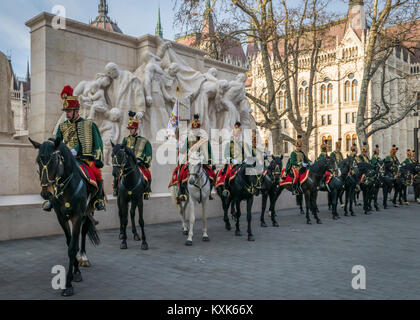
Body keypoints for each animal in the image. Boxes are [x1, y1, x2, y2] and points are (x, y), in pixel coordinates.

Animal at [29, 136, 100, 296]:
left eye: (54, 160)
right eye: (38, 160)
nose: (46, 193)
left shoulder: (77, 216)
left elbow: (73, 248)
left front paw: (68, 284)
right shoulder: (61, 217)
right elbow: (69, 243)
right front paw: (75, 272)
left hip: (88, 211)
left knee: (84, 232)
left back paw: (83, 257)